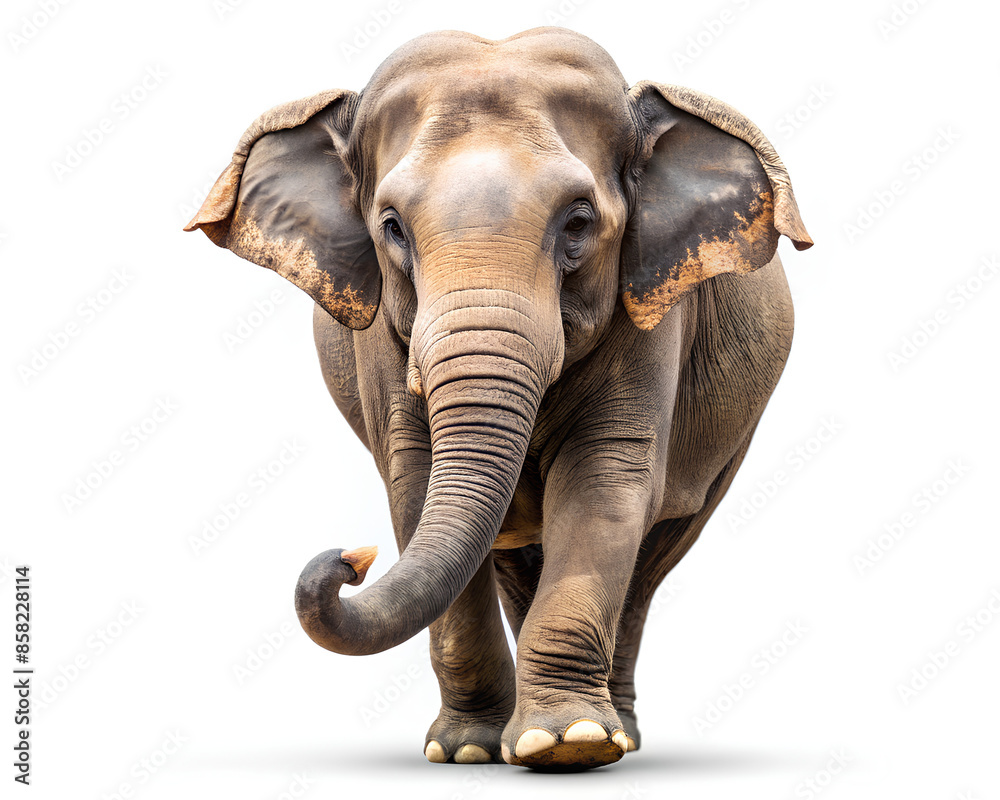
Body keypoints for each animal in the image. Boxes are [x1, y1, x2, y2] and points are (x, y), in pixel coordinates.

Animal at [184, 27, 812, 771]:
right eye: (391, 227)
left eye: (578, 223)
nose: (351, 560)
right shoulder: (383, 341)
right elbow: (415, 482)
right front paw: (466, 750)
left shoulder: (651, 315)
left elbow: (606, 476)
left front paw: (567, 744)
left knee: (651, 560)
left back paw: (619, 735)